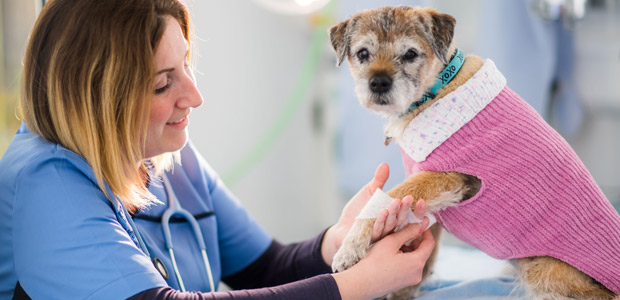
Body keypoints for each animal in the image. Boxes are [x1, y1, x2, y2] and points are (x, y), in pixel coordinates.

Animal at [330, 5, 620, 300]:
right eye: (363, 53)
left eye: (410, 54)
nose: (378, 83)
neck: (435, 90)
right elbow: (427, 250)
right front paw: (403, 289)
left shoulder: (448, 177)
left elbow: (386, 197)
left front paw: (350, 247)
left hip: (542, 269)